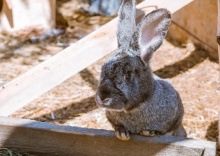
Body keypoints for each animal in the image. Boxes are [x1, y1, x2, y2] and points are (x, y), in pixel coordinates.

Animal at [94, 0, 186, 140]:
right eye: (102, 69)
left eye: (128, 75)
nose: (103, 98)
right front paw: (122, 134)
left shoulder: (175, 117)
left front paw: (149, 132)